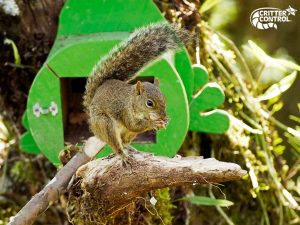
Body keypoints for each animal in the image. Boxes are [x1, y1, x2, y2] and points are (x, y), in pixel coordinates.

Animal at [83, 22, 189, 163]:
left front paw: (165, 121)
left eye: (164, 98)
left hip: (128, 134)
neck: (132, 102)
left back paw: (134, 150)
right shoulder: (125, 112)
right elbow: (133, 125)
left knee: (124, 142)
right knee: (116, 144)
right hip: (105, 125)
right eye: (149, 103)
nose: (163, 116)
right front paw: (153, 123)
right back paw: (123, 156)